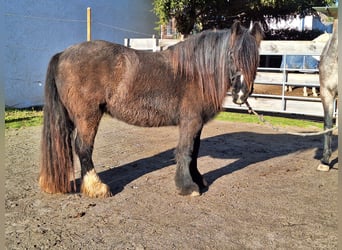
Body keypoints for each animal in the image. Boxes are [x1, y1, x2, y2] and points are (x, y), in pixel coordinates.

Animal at [38, 21, 264, 197]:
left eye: (256, 57)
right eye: (232, 55)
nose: (241, 94)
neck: (195, 73)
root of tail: (63, 54)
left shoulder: (197, 124)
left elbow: (195, 151)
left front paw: (198, 180)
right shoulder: (190, 121)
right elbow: (186, 151)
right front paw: (187, 187)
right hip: (88, 116)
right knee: (83, 147)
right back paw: (96, 187)